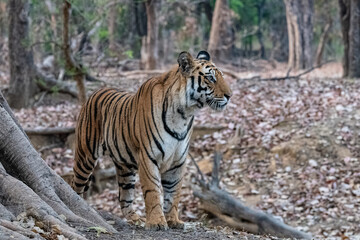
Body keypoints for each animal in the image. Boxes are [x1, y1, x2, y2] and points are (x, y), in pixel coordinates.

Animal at [71, 49, 232, 230]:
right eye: (210, 78)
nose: (229, 95)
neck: (184, 114)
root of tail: (94, 93)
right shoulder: (149, 157)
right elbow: (153, 191)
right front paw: (157, 222)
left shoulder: (178, 160)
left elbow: (174, 192)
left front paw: (173, 220)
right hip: (85, 156)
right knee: (75, 185)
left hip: (125, 166)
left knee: (124, 197)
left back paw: (136, 219)